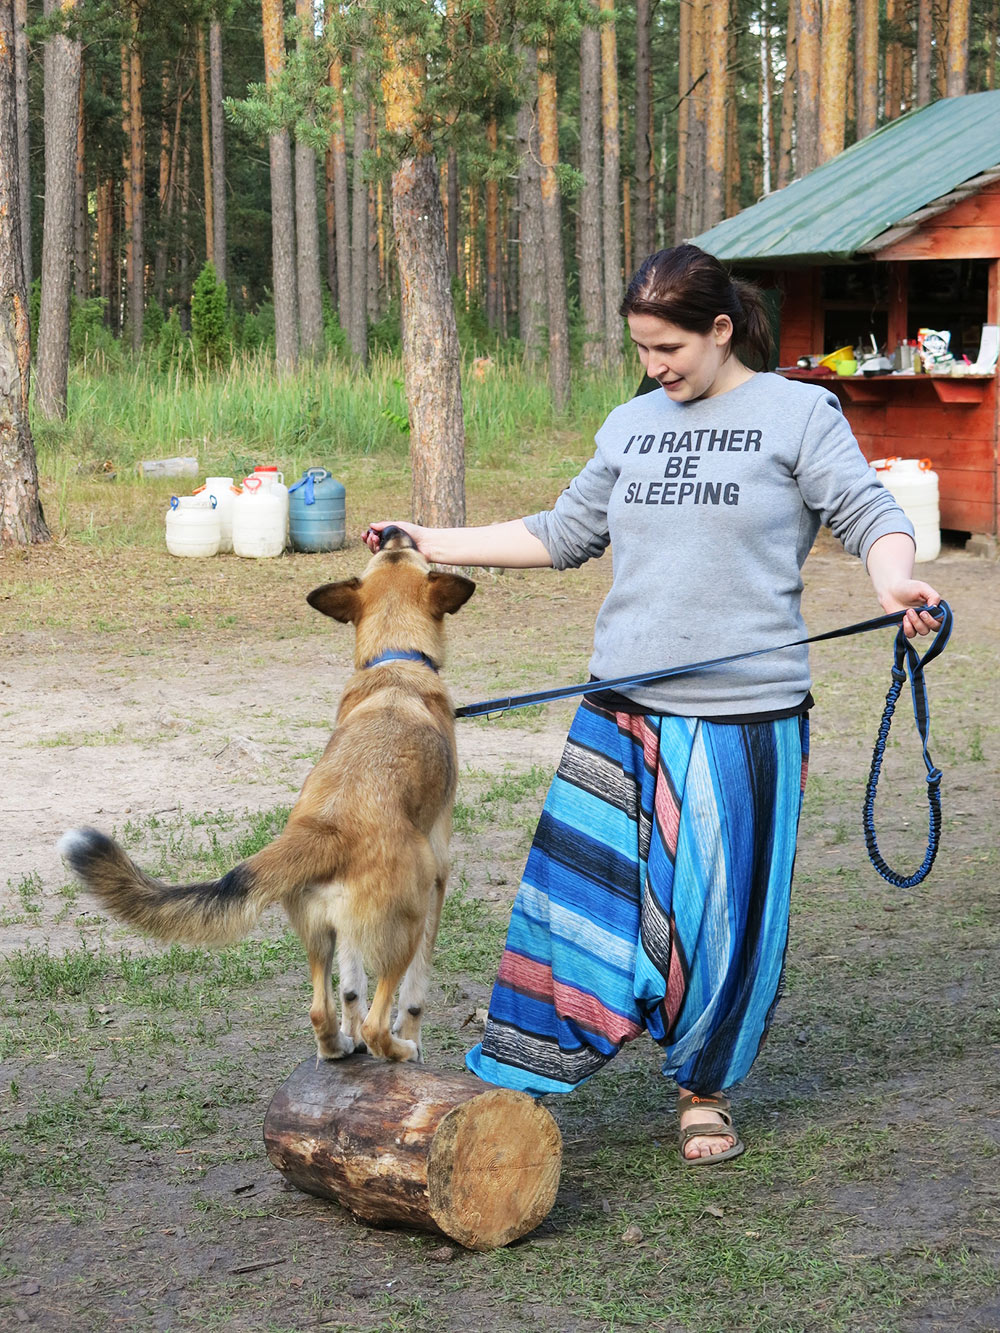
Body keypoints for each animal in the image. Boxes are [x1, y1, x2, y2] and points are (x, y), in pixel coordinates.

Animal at [61, 527, 477, 1061]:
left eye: (393, 550)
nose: (390, 531)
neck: (395, 660)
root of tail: (329, 828)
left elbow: (350, 990)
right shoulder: (439, 880)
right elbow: (415, 996)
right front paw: (414, 1035)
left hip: (321, 934)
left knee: (322, 1011)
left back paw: (339, 1045)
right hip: (405, 922)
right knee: (377, 1023)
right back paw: (398, 1050)